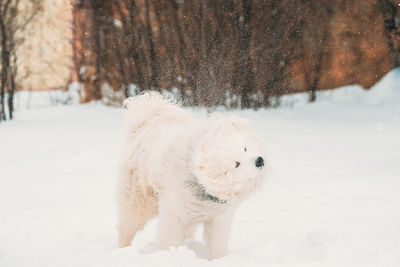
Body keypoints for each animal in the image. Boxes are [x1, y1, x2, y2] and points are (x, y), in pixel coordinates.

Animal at [116, 92, 266, 260]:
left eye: (244, 148)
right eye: (237, 164)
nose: (259, 160)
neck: (200, 183)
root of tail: (143, 127)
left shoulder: (218, 218)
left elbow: (217, 243)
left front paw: (219, 259)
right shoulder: (174, 214)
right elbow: (170, 239)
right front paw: (170, 255)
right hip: (138, 201)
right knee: (127, 227)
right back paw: (123, 250)